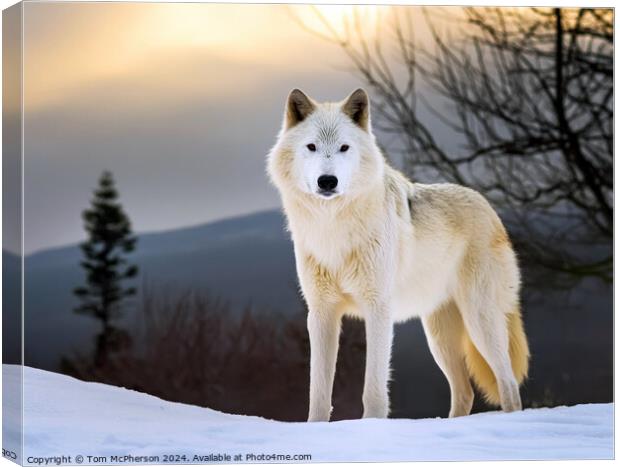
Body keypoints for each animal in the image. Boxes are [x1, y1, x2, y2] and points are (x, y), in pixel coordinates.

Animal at [266, 89, 528, 422]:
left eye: (344, 147)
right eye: (311, 147)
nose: (327, 181)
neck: (333, 227)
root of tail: (490, 209)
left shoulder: (378, 307)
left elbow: (374, 388)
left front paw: (373, 426)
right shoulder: (321, 312)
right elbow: (319, 391)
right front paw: (315, 427)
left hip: (480, 322)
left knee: (509, 384)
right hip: (439, 338)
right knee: (465, 391)